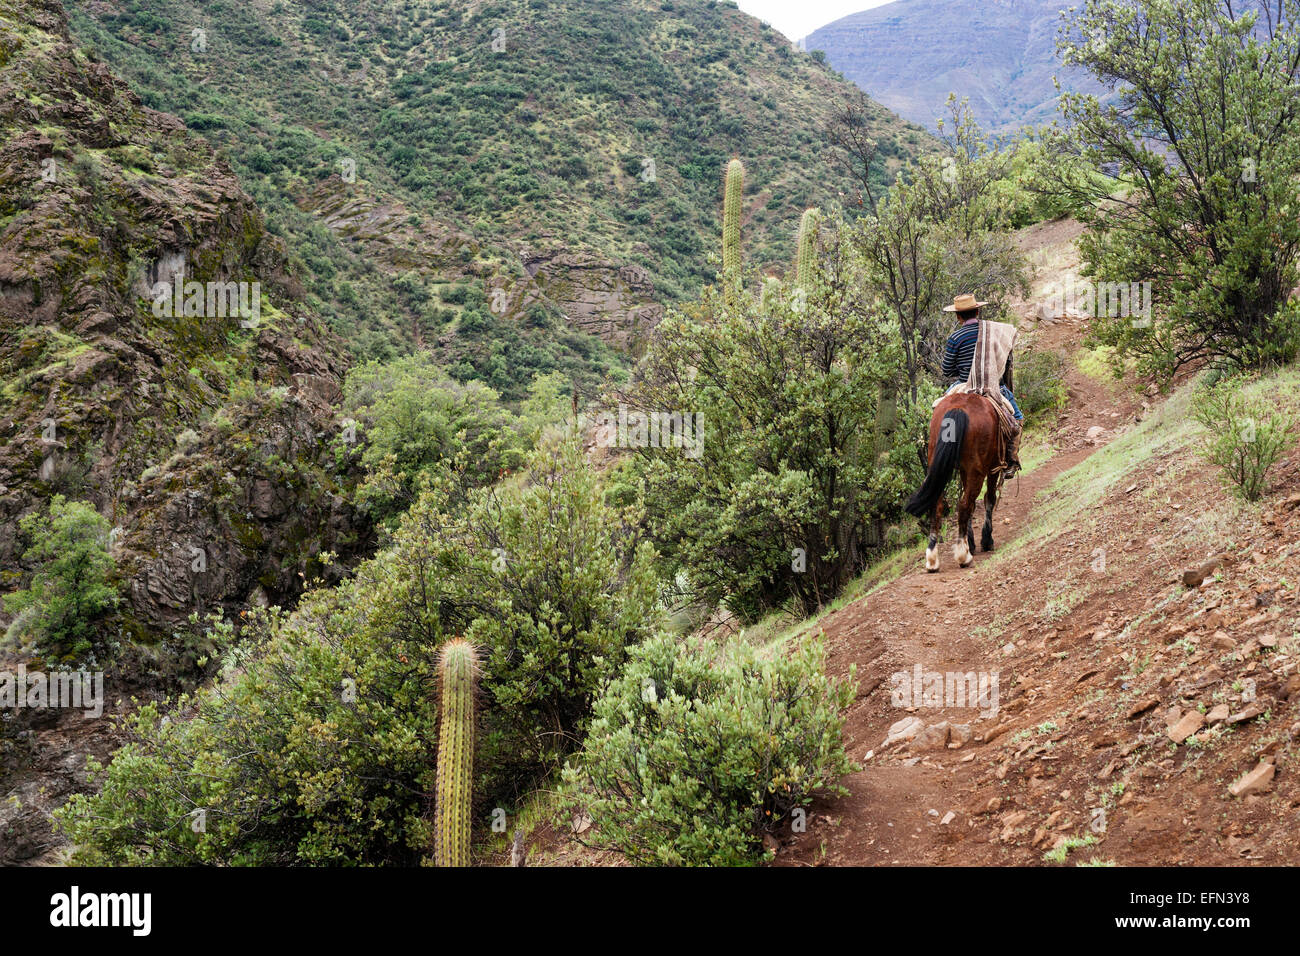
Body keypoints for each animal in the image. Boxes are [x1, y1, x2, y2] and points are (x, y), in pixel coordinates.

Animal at [904, 392, 1003, 572]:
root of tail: (958, 408)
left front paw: (971, 542)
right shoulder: (994, 467)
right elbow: (989, 499)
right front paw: (986, 541)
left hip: (937, 464)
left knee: (938, 505)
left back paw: (932, 559)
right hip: (976, 471)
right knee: (964, 504)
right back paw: (964, 556)